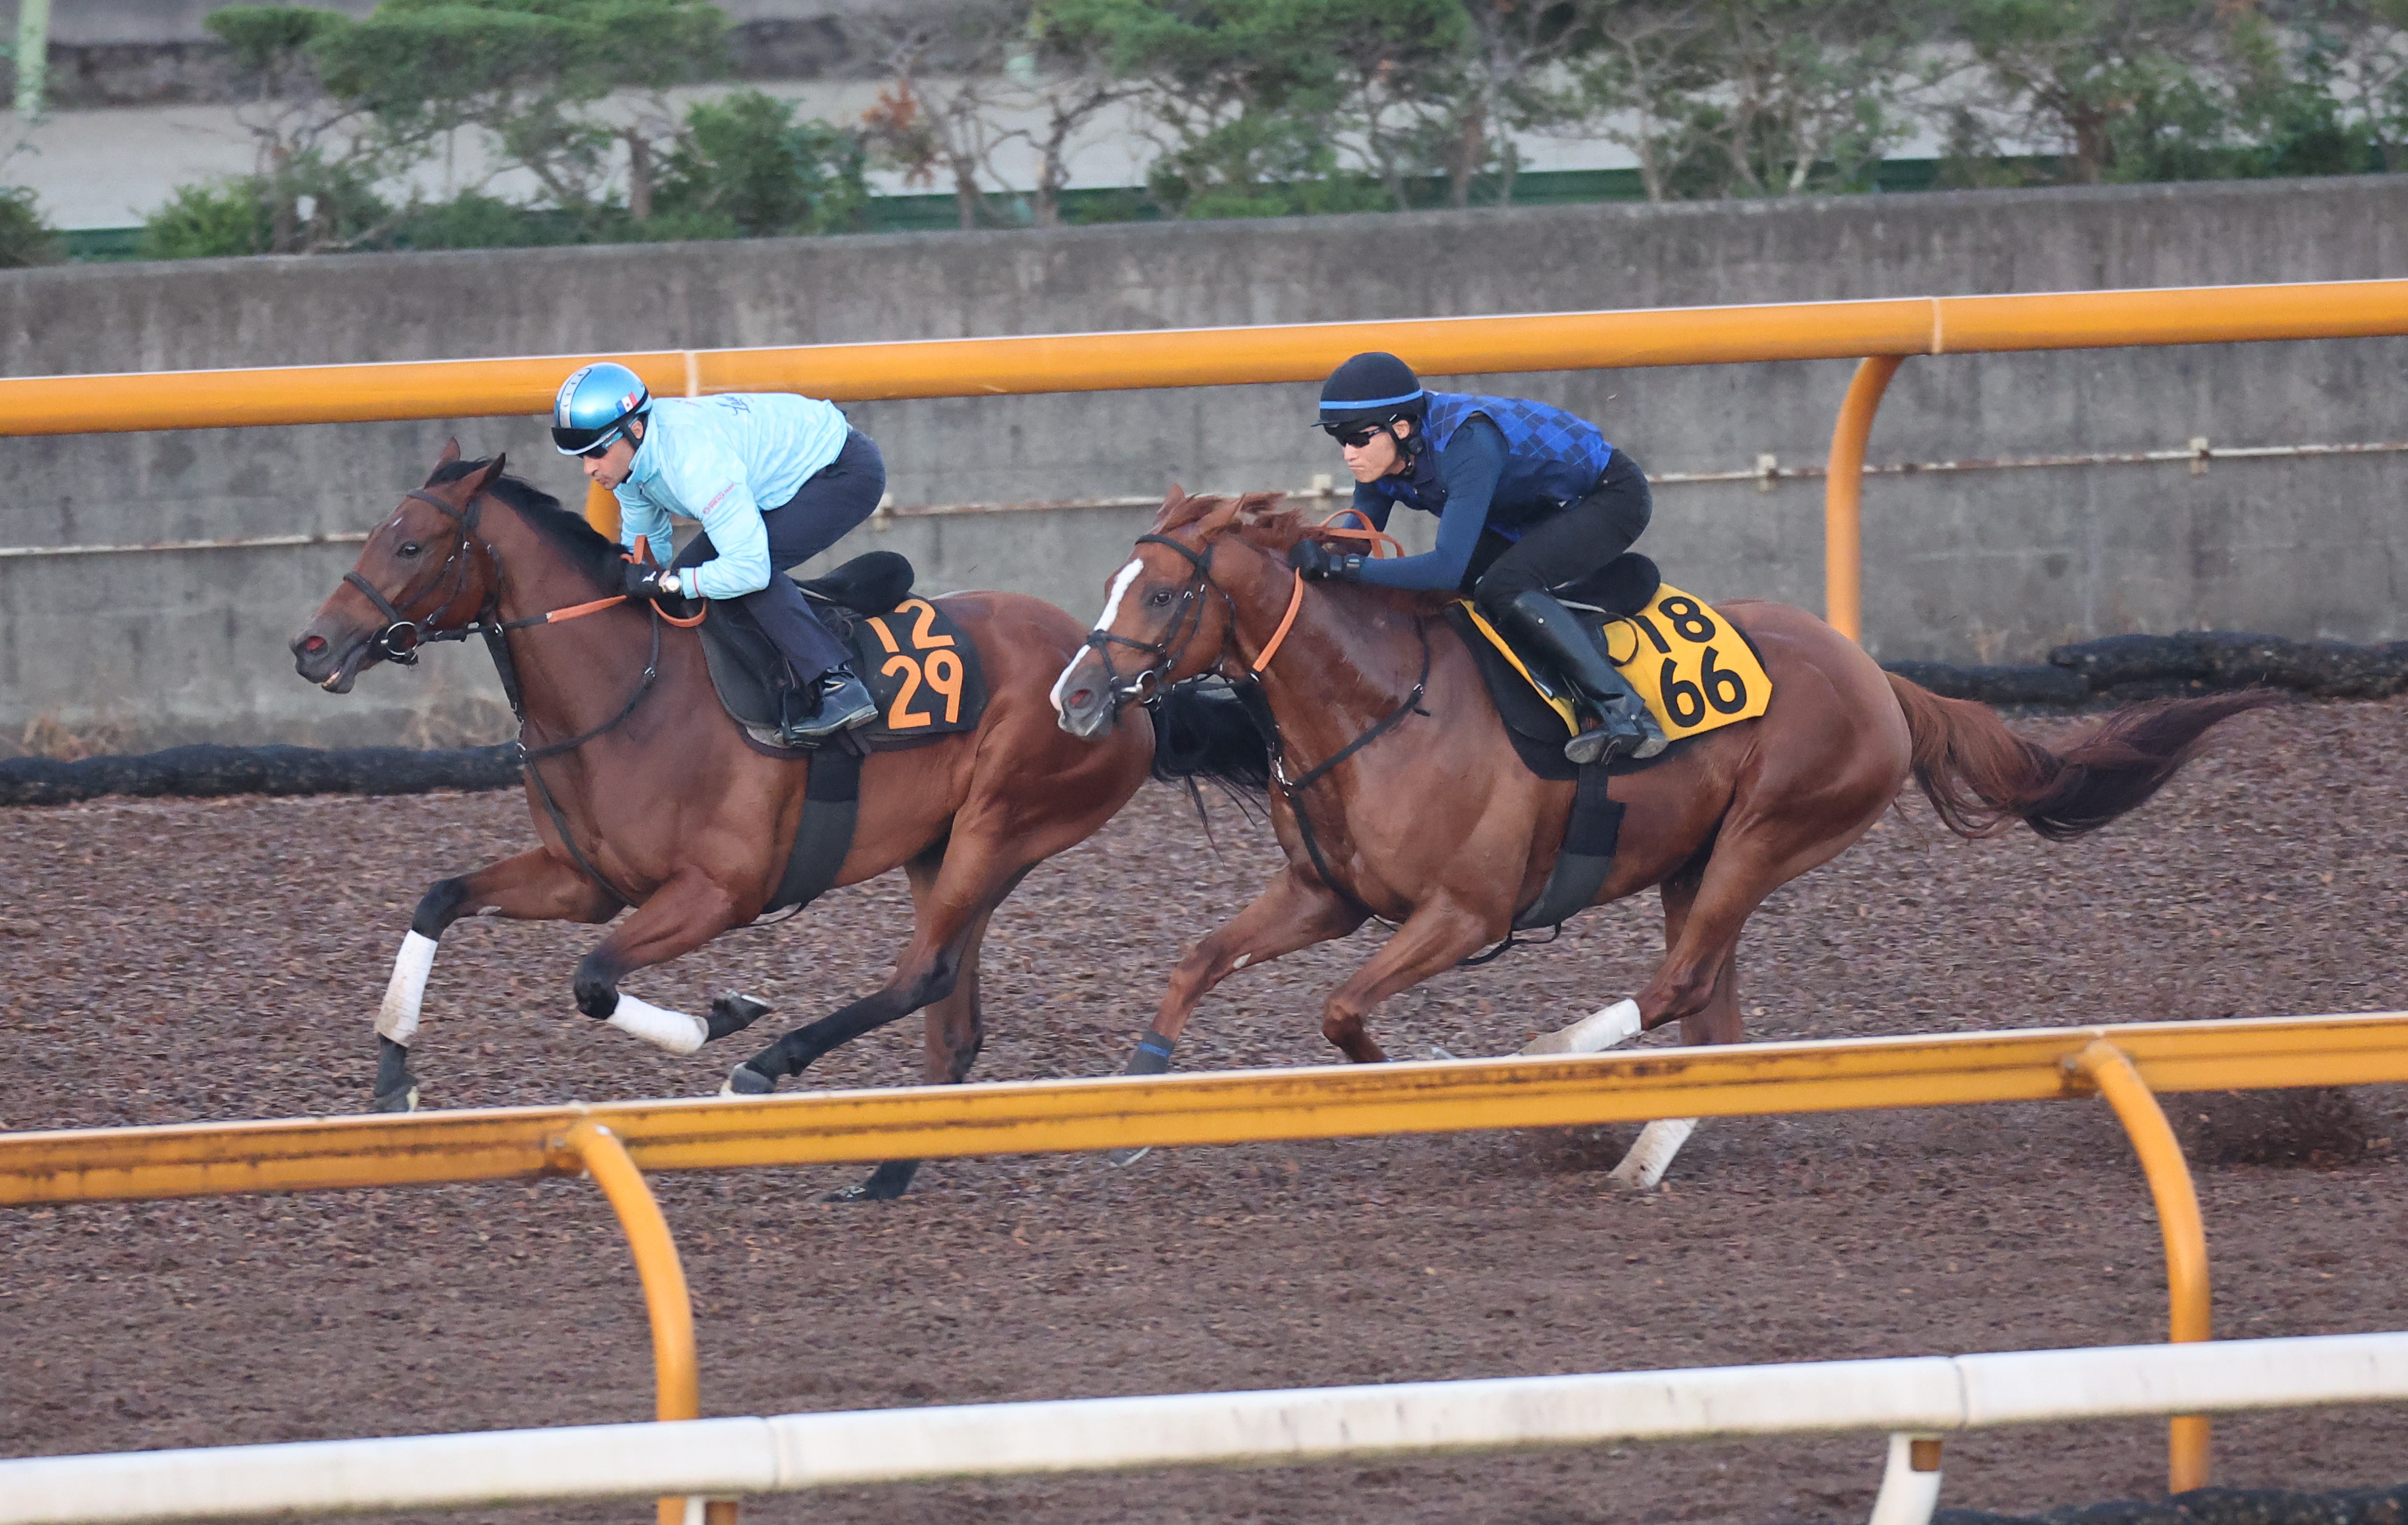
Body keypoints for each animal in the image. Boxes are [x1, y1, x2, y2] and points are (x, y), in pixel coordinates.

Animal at [291, 446, 1155, 1195]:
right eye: (373, 535)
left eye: (411, 545)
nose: (311, 645)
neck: (627, 694)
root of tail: (1113, 679)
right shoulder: (584, 880)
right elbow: (438, 898)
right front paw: (393, 1075)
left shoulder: (719, 892)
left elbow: (593, 981)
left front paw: (724, 1017)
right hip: (939, 848)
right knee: (953, 1019)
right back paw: (884, 1176)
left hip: (1002, 827)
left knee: (924, 974)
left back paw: (768, 1066)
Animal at [1054, 494, 2273, 1185]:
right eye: (1110, 581)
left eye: (1158, 596)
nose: (1074, 696)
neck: (1376, 701)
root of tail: (1877, 675)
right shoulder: (1327, 894)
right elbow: (1199, 960)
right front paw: (1138, 1098)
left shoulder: (1466, 912)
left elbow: (1344, 1012)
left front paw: (1447, 1081)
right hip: (1699, 862)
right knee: (1713, 1017)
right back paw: (1637, 1162)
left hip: (1770, 833)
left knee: (1682, 986)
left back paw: (1556, 1061)